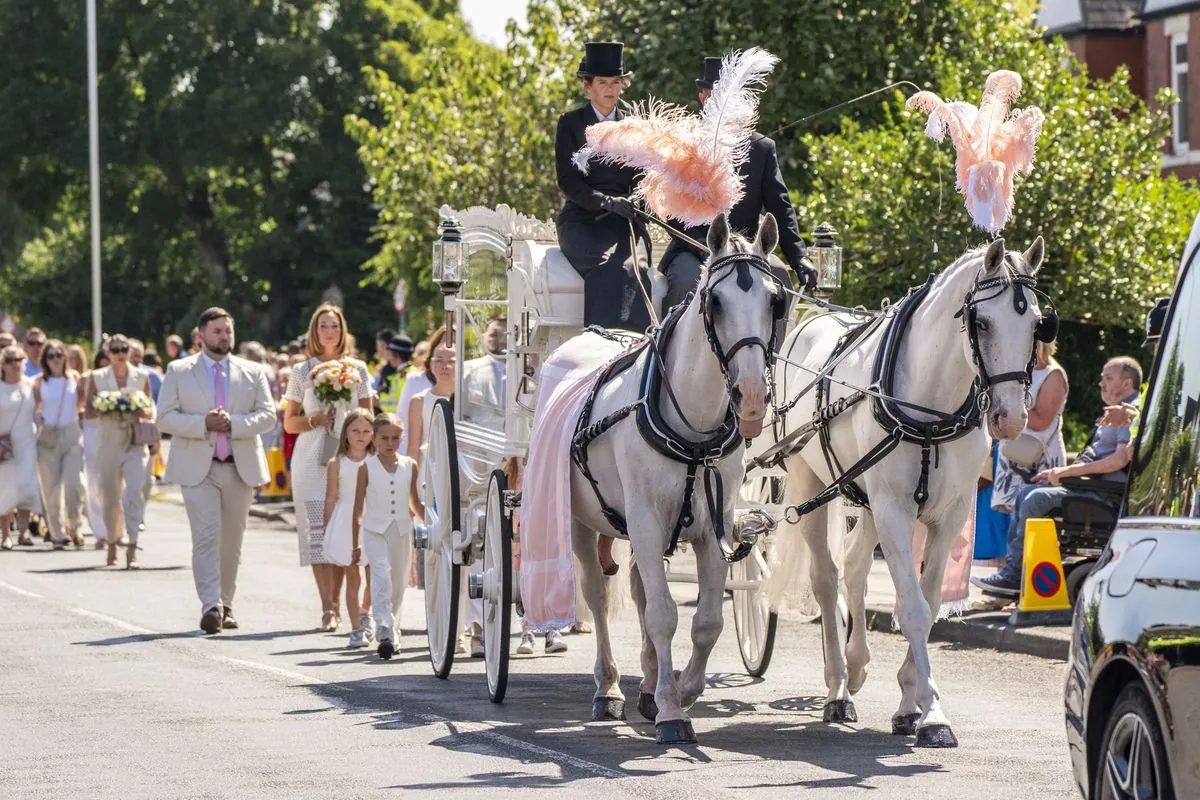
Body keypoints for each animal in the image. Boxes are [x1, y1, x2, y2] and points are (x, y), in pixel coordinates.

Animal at [564, 211, 787, 743]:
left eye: (776, 300)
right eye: (715, 301)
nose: (752, 395)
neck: (694, 427)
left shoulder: (713, 528)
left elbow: (705, 620)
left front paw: (682, 691)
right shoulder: (645, 521)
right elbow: (664, 615)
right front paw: (669, 711)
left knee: (641, 591)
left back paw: (646, 683)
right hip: (583, 522)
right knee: (596, 597)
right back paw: (608, 689)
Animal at [768, 235, 1041, 748]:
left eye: (1038, 323)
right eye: (982, 322)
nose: (1011, 418)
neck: (932, 408)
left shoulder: (947, 515)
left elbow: (929, 606)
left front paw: (911, 704)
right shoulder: (895, 511)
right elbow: (912, 609)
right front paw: (933, 714)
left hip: (864, 496)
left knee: (855, 567)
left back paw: (857, 667)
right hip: (810, 483)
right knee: (827, 577)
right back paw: (839, 687)